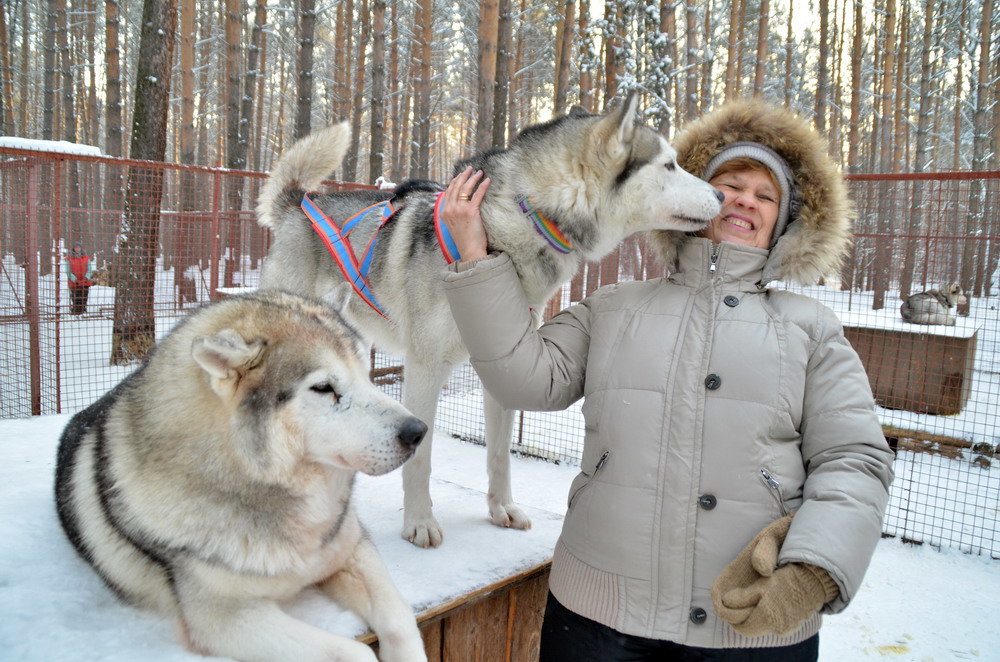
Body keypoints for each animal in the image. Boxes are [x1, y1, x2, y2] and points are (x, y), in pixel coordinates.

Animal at [54, 294, 428, 660]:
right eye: (323, 388)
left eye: (367, 375)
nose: (418, 432)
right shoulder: (224, 618)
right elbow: (351, 651)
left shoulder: (352, 550)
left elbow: (400, 620)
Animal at [256, 93, 728, 548]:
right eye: (668, 164)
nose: (722, 196)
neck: (516, 223)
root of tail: (301, 204)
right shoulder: (425, 368)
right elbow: (421, 457)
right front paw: (419, 523)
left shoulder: (501, 365)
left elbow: (500, 453)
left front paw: (502, 509)